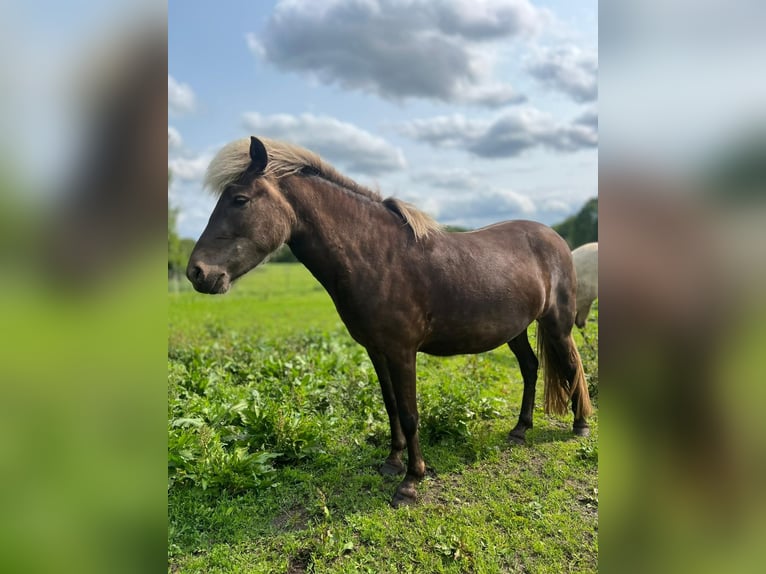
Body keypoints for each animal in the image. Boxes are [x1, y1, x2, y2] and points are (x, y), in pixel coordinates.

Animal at [186, 136, 593, 507]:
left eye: (240, 199)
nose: (197, 272)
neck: (379, 258)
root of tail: (554, 237)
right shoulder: (376, 350)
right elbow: (391, 406)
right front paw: (392, 463)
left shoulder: (402, 351)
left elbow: (411, 414)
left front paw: (411, 483)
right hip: (516, 330)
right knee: (530, 367)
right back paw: (520, 430)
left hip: (557, 323)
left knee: (572, 366)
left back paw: (580, 425)